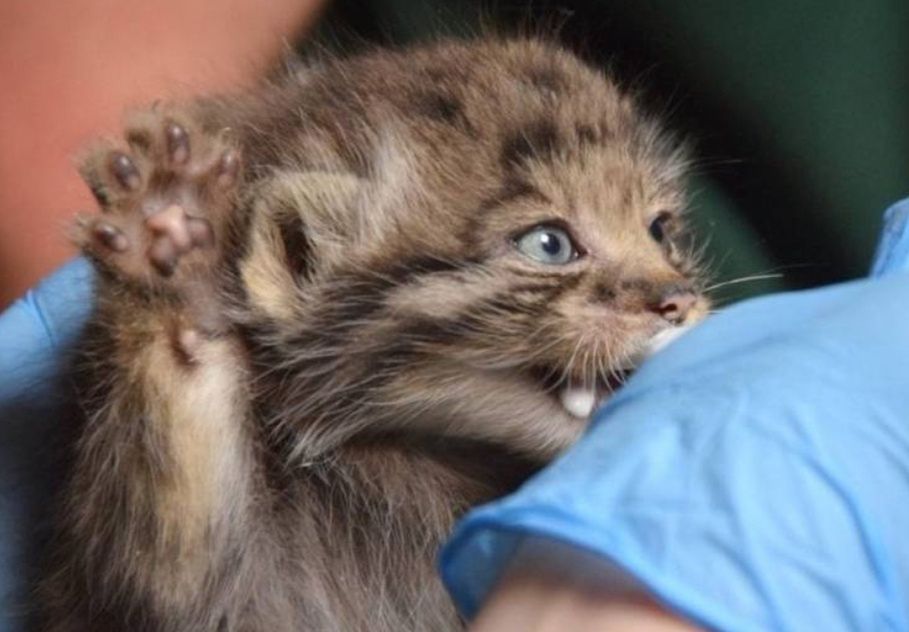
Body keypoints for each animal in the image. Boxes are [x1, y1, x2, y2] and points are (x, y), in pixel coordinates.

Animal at [35, 38, 704, 628]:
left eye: (660, 230)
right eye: (549, 244)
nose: (679, 301)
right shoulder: (157, 585)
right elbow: (167, 563)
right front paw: (173, 254)